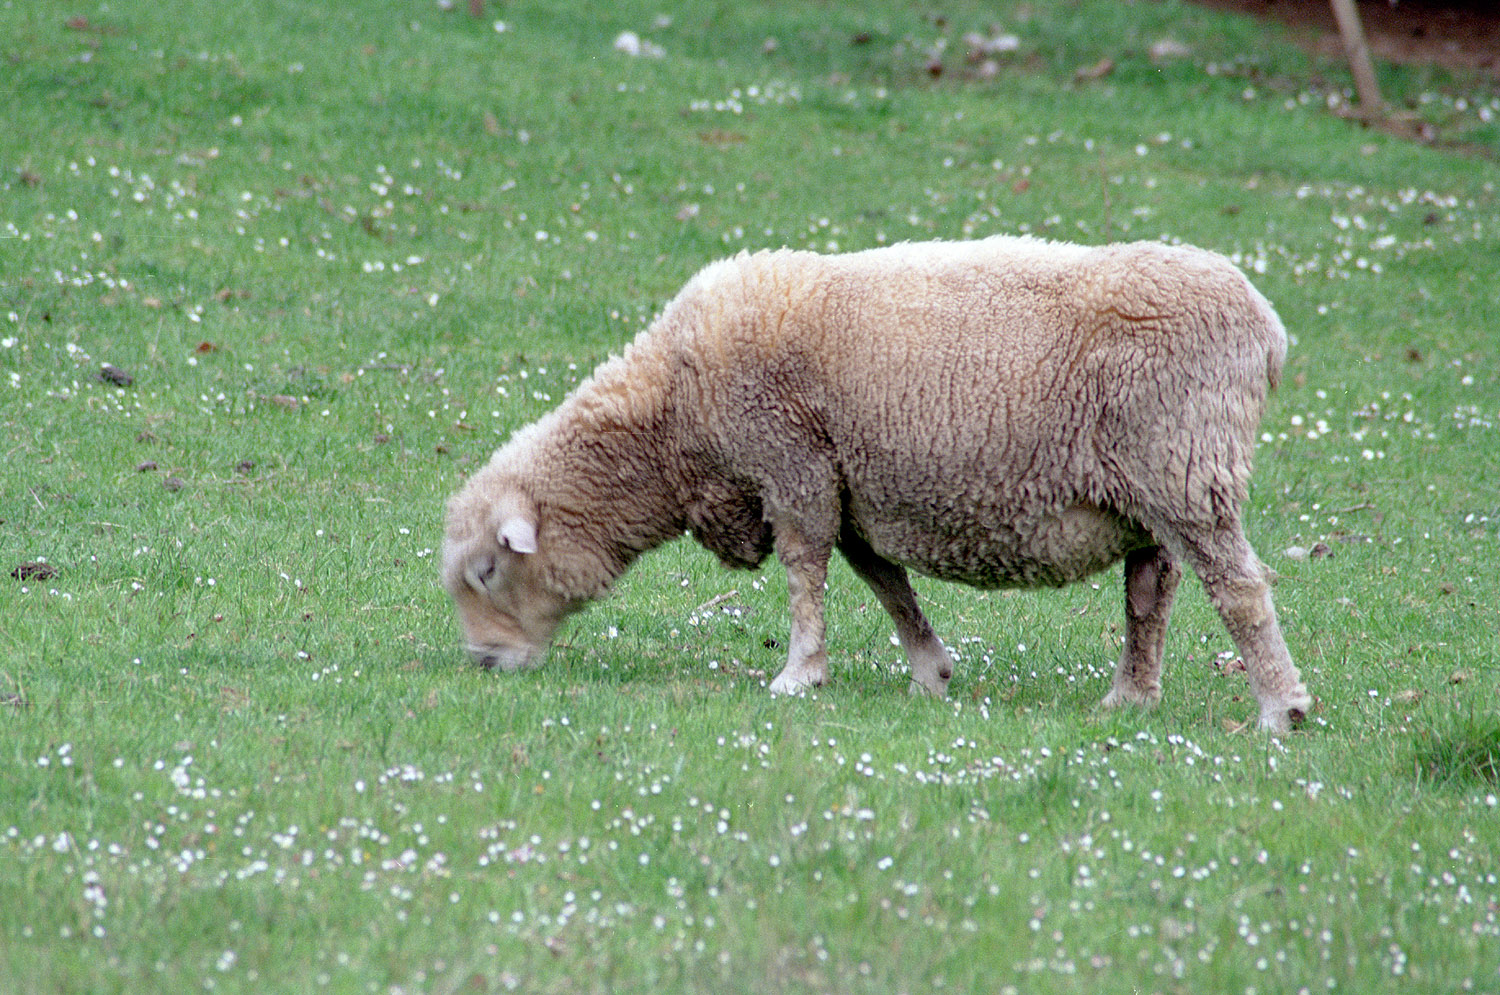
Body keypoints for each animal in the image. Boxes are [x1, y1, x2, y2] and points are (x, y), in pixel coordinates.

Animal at [441, 234, 1314, 732]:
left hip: (1185, 464)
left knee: (1239, 588)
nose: (483, 662)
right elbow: (883, 580)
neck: (672, 419)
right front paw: (931, 669)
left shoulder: (790, 461)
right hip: (1146, 490)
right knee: (1150, 592)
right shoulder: (850, 480)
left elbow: (805, 572)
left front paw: (800, 672)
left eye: (487, 569)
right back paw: (1130, 698)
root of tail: (1268, 328)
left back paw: (1282, 707)